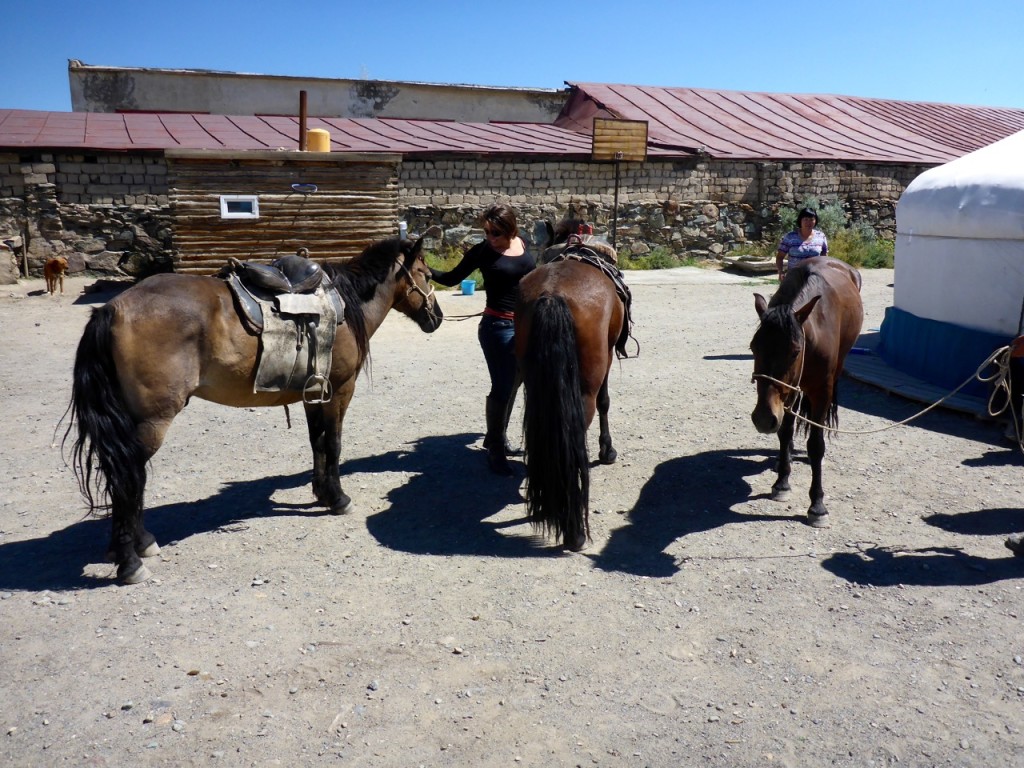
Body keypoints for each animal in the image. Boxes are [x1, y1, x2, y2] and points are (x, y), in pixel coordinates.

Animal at [66, 236, 442, 581]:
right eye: (425, 274)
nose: (436, 317)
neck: (344, 308)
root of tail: (112, 309)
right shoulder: (339, 391)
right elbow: (333, 444)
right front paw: (338, 499)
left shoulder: (314, 394)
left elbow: (318, 444)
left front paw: (322, 493)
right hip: (152, 421)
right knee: (127, 477)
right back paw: (130, 561)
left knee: (124, 476)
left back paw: (138, 542)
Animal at [512, 246, 630, 552]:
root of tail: (552, 295)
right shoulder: (608, 357)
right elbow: (605, 402)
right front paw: (607, 450)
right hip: (585, 386)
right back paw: (574, 530)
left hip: (536, 385)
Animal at [749, 259, 860, 528]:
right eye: (753, 348)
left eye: (795, 351)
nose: (763, 419)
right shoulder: (786, 394)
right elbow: (785, 432)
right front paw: (782, 482)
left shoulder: (821, 391)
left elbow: (816, 444)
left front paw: (817, 505)